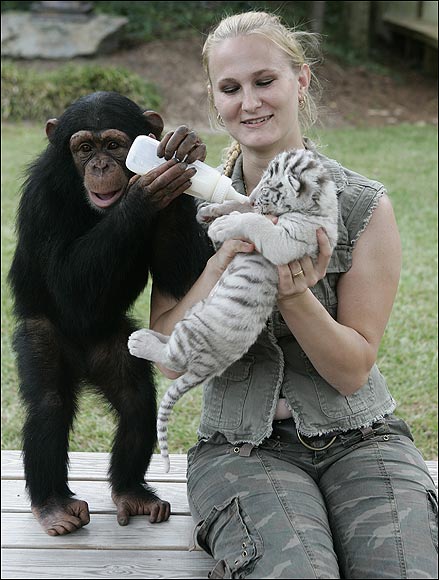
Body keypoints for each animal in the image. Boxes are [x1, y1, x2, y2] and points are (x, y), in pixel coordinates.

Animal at [6, 93, 213, 536]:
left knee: (137, 402)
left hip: (113, 346)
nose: (100, 166)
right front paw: (146, 192)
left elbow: (183, 281)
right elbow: (67, 285)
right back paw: (53, 505)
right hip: (44, 337)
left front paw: (183, 149)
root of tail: (83, 365)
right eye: (84, 148)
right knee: (48, 403)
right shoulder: (42, 199)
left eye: (114, 145)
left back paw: (131, 491)